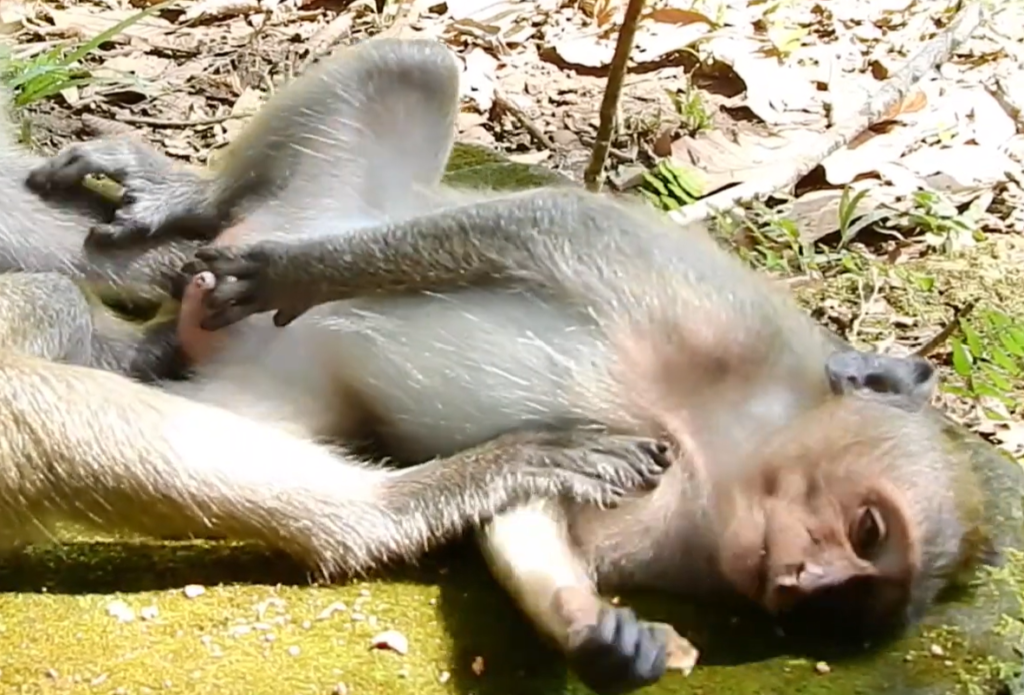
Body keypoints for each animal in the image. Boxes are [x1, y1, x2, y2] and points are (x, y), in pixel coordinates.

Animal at [24, 37, 980, 695]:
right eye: (868, 527)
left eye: (850, 601)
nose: (807, 580)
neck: (725, 446)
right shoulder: (724, 319)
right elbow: (549, 228)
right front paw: (305, 273)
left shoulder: (678, 530)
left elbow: (533, 519)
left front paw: (599, 633)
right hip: (328, 199)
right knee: (415, 71)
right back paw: (195, 201)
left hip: (268, 391)